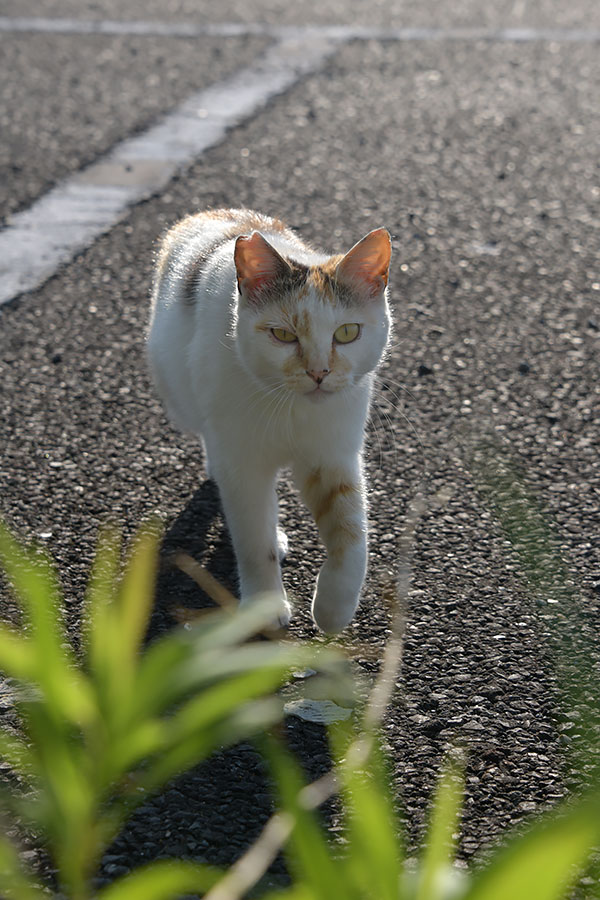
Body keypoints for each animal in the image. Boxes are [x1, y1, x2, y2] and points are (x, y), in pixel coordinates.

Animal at [149, 209, 394, 632]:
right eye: (282, 335)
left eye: (348, 333)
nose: (319, 372)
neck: (292, 407)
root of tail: (210, 213)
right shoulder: (243, 467)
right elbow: (252, 540)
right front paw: (264, 606)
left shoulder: (332, 456)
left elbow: (352, 535)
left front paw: (333, 610)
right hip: (182, 394)